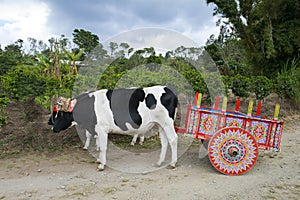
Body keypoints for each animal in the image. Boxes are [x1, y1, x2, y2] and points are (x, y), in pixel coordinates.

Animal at [50, 85, 179, 171]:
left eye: (60, 114)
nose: (53, 128)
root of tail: (169, 89)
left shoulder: (102, 129)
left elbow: (103, 147)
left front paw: (101, 165)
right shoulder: (97, 130)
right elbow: (99, 145)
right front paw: (99, 160)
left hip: (167, 123)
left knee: (173, 139)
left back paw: (172, 163)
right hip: (160, 125)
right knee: (164, 142)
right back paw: (159, 162)